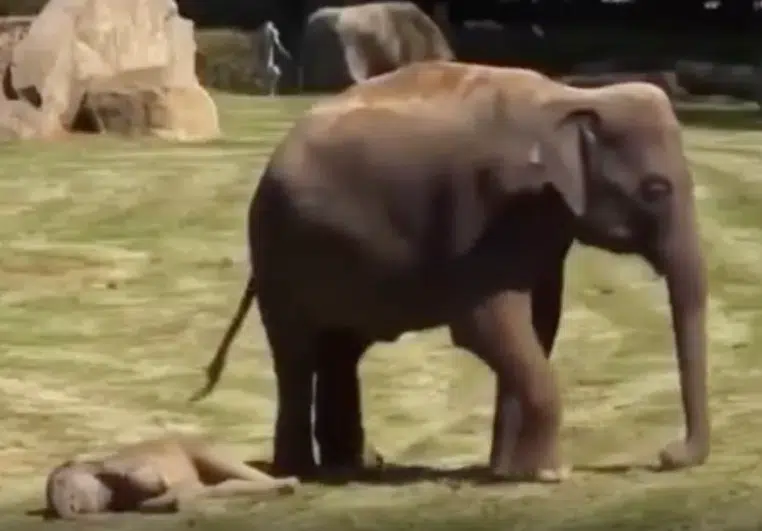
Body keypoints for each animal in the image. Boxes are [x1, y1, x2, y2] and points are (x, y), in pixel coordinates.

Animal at [191, 60, 710, 483]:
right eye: (656, 189)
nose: (667, 455)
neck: (572, 98)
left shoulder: (538, 222)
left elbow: (539, 323)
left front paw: (508, 471)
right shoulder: (488, 209)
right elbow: (488, 324)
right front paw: (548, 474)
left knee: (339, 350)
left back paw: (352, 466)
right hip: (279, 253)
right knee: (296, 353)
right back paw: (301, 472)